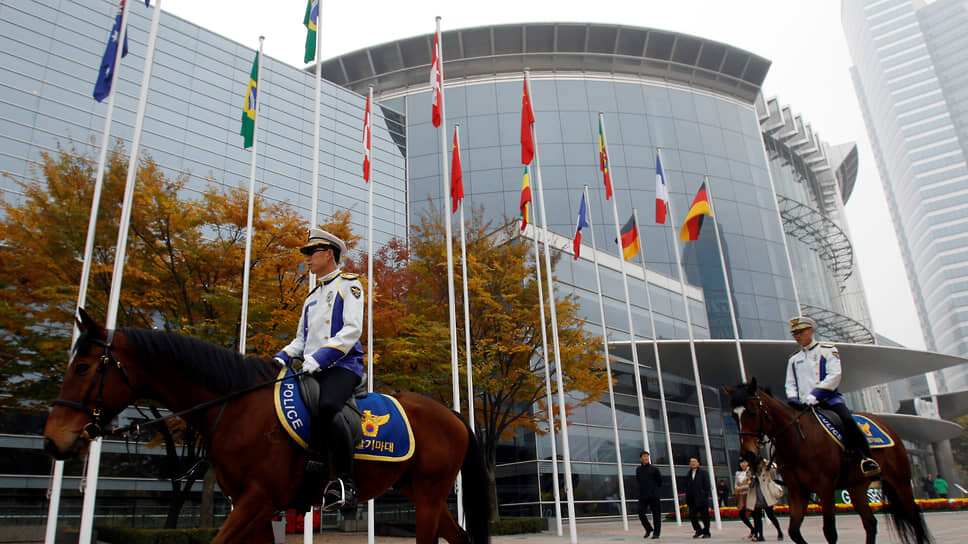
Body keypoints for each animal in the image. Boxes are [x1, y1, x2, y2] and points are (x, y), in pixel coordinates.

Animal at [41, 310, 488, 544]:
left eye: (82, 368)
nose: (52, 441)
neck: (237, 406)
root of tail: (452, 414)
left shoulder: (258, 499)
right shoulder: (252, 505)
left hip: (428, 495)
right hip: (422, 493)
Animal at [728, 378, 932, 544]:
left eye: (752, 411)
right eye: (733, 416)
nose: (748, 455)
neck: (797, 439)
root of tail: (884, 423)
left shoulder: (824, 487)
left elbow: (830, 532)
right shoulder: (798, 490)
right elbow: (794, 532)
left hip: (900, 480)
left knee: (914, 519)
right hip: (856, 486)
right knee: (870, 523)